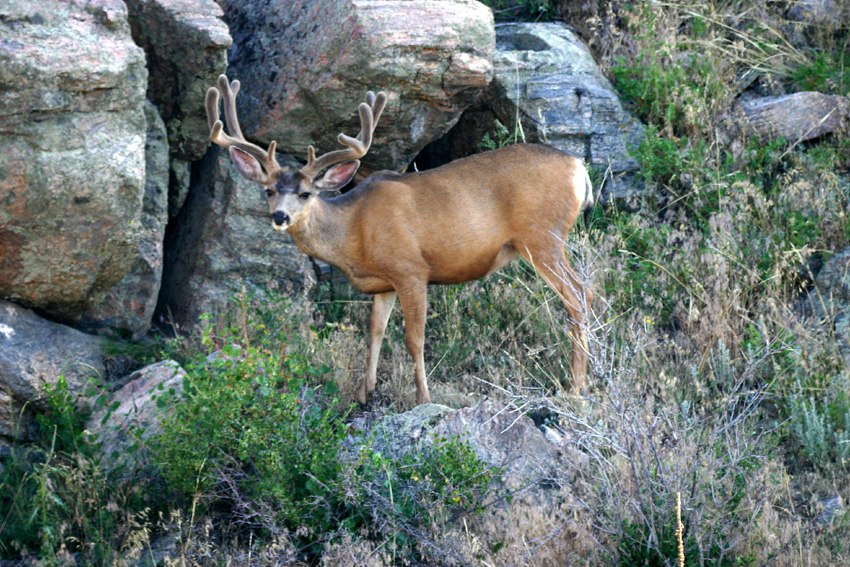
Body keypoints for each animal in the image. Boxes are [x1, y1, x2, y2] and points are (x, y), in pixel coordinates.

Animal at [205, 74, 593, 405]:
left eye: (305, 193)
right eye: (269, 190)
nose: (280, 217)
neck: (354, 231)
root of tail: (579, 167)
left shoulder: (411, 269)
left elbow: (413, 337)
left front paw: (423, 397)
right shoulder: (384, 282)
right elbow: (375, 332)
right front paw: (365, 392)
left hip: (542, 236)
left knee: (579, 296)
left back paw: (576, 386)